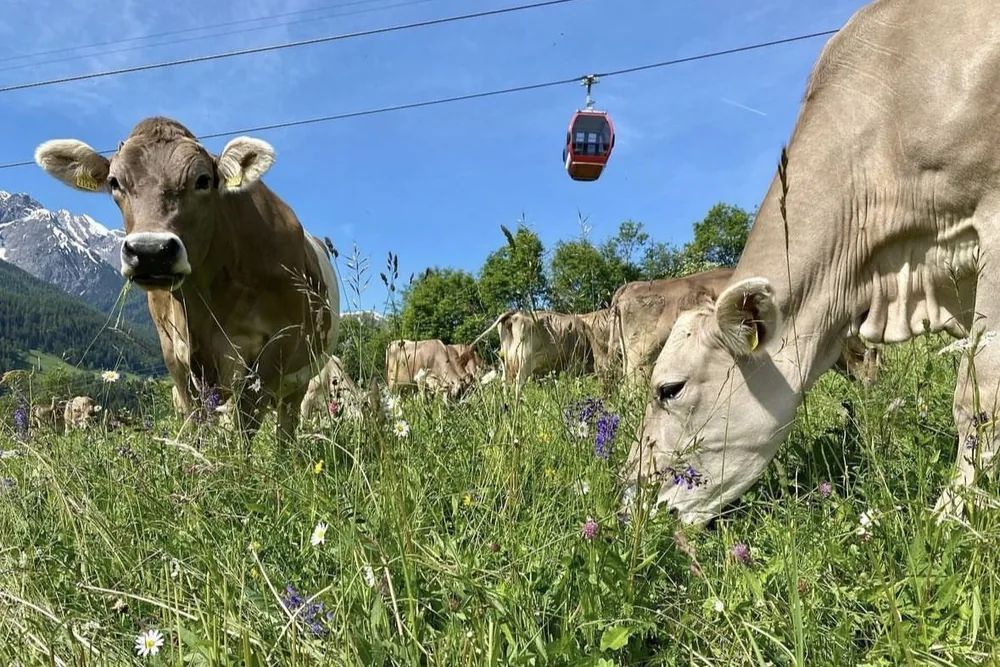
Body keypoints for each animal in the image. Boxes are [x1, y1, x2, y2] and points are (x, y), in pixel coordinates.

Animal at [34, 117, 340, 449]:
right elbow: (197, 422)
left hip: (301, 378)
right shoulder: (176, 353)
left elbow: (245, 424)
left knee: (285, 424)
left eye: (203, 180)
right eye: (114, 182)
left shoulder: (280, 342)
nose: (150, 251)